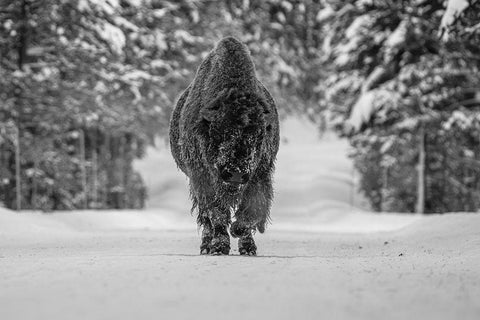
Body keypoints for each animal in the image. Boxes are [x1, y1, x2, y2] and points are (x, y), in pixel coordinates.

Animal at [170, 36, 280, 256]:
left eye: (259, 135)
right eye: (218, 132)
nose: (235, 173)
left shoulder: (260, 174)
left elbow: (253, 209)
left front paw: (239, 231)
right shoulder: (202, 177)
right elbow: (217, 214)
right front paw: (219, 246)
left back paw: (247, 247)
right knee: (206, 219)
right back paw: (207, 246)